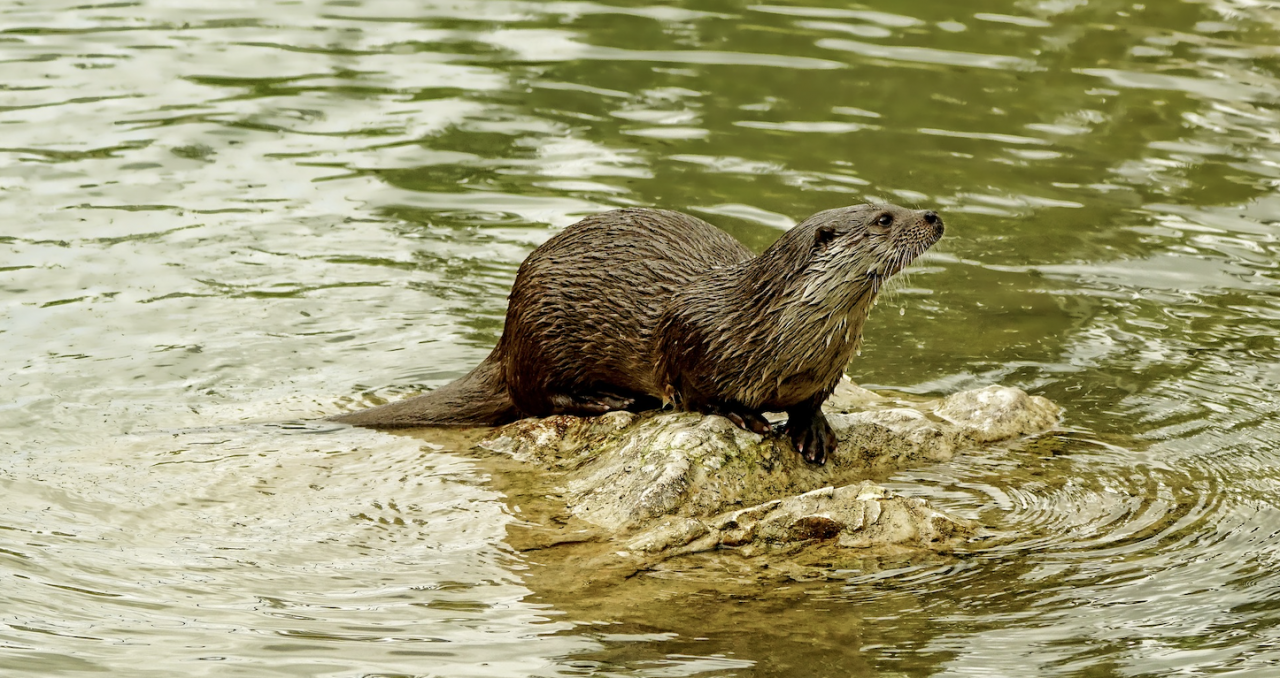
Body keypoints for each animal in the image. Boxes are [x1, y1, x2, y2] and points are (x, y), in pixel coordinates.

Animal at [335, 202, 947, 465]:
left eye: (897, 202)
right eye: (885, 219)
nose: (934, 216)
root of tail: (506, 335)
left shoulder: (826, 371)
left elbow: (811, 403)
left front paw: (811, 430)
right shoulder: (691, 337)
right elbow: (696, 392)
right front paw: (742, 415)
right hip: (543, 330)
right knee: (537, 397)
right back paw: (613, 400)